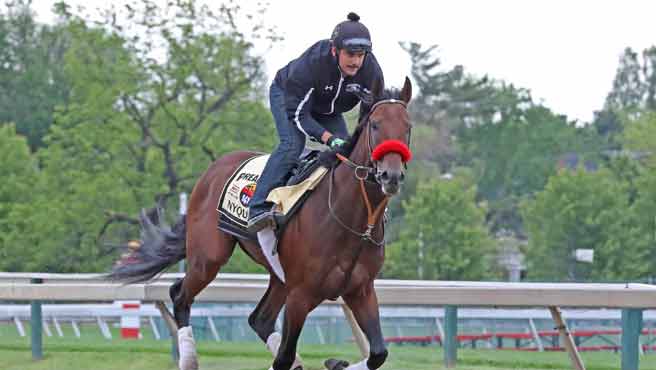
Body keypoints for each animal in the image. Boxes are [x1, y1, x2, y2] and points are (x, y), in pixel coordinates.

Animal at [109, 76, 412, 370]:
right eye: (375, 124)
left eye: (407, 127)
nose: (391, 176)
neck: (354, 220)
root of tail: (214, 168)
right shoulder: (301, 295)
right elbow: (284, 357)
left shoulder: (361, 291)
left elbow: (378, 353)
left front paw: (335, 362)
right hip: (209, 257)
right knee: (180, 295)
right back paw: (189, 360)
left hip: (279, 276)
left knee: (260, 319)